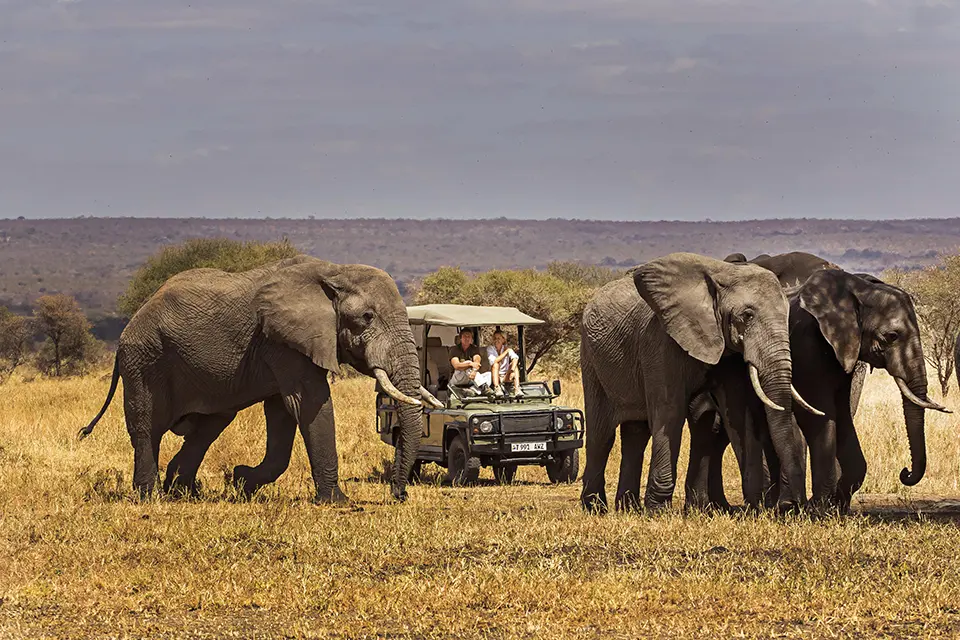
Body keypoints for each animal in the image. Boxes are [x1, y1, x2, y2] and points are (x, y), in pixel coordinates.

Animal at [78, 255, 442, 504]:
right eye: (366, 317)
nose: (398, 494)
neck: (334, 270)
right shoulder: (282, 341)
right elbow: (309, 403)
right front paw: (338, 502)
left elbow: (283, 412)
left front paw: (241, 481)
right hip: (144, 360)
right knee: (147, 427)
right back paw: (151, 496)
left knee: (208, 427)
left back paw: (184, 492)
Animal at [579, 251, 817, 514]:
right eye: (747, 315)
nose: (791, 505)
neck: (722, 275)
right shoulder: (660, 341)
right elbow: (669, 412)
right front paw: (658, 512)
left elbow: (736, 413)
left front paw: (756, 507)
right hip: (591, 359)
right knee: (601, 435)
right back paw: (595, 507)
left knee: (636, 434)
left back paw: (628, 509)